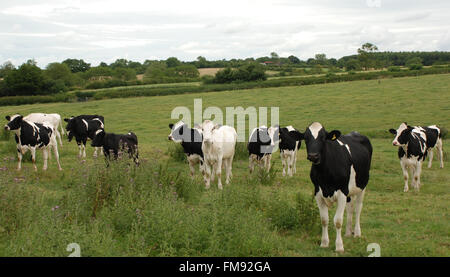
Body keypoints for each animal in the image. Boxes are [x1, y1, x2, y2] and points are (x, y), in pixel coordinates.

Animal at [298, 122, 372, 251]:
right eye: (306, 138)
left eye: (323, 138)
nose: (313, 156)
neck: (325, 173)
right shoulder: (318, 193)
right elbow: (324, 220)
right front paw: (324, 243)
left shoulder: (342, 192)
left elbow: (337, 221)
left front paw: (339, 246)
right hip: (349, 191)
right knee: (350, 208)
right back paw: (348, 233)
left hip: (362, 186)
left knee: (358, 208)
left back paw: (357, 233)